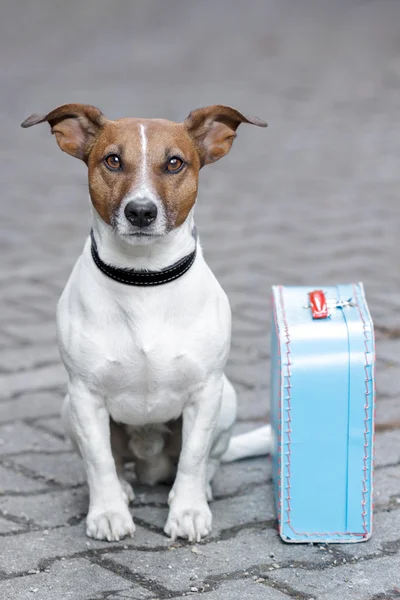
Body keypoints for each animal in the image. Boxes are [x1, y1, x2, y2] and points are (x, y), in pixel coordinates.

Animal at [21, 103, 272, 544]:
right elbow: (100, 460)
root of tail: (150, 465)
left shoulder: (205, 393)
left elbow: (193, 457)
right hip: (68, 409)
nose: (140, 211)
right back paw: (122, 488)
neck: (143, 279)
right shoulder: (85, 396)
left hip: (228, 399)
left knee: (209, 460)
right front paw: (108, 513)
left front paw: (188, 510)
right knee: (109, 461)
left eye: (174, 163)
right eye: (112, 160)